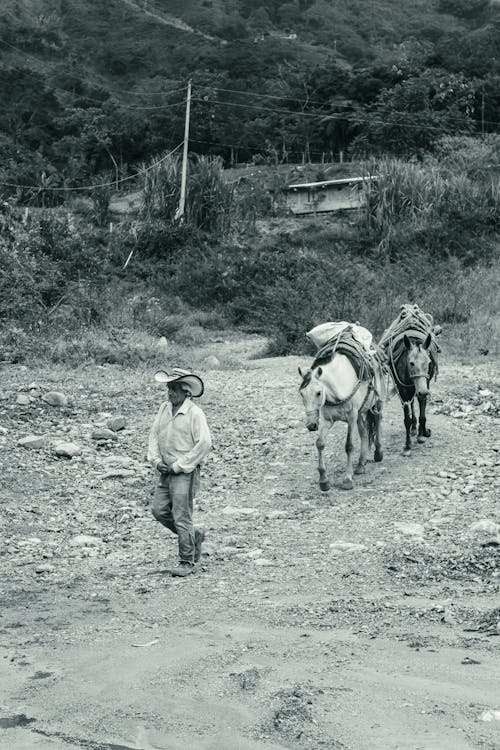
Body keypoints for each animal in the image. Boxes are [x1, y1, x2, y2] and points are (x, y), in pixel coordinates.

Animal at [298, 354, 384, 494]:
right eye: (301, 393)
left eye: (318, 393)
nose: (311, 425)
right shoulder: (328, 420)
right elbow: (320, 443)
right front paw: (323, 480)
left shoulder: (351, 417)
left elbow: (349, 446)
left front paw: (347, 479)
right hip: (360, 413)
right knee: (364, 433)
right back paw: (361, 464)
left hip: (377, 403)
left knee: (377, 420)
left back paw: (378, 453)